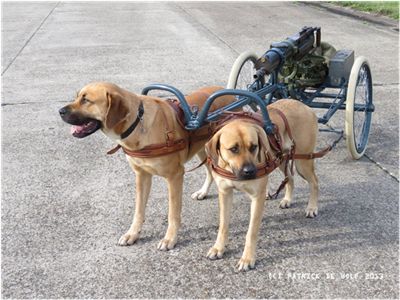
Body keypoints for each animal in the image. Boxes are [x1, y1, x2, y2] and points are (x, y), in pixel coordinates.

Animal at [59, 82, 238, 251]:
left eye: (86, 100)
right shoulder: (142, 175)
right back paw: (203, 192)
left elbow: (173, 213)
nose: (60, 111)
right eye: (78, 97)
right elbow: (139, 210)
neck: (138, 123)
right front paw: (132, 234)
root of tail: (229, 93)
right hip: (203, 150)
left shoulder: (174, 177)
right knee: (209, 171)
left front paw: (170, 239)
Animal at [206, 99, 318, 272]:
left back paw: (312, 207)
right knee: (290, 178)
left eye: (253, 146)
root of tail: (302, 105)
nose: (250, 172)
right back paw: (287, 199)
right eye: (233, 149)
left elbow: (251, 232)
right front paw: (219, 248)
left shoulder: (257, 198)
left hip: (303, 161)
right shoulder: (225, 193)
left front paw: (247, 258)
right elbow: (223, 226)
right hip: (282, 159)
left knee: (314, 182)